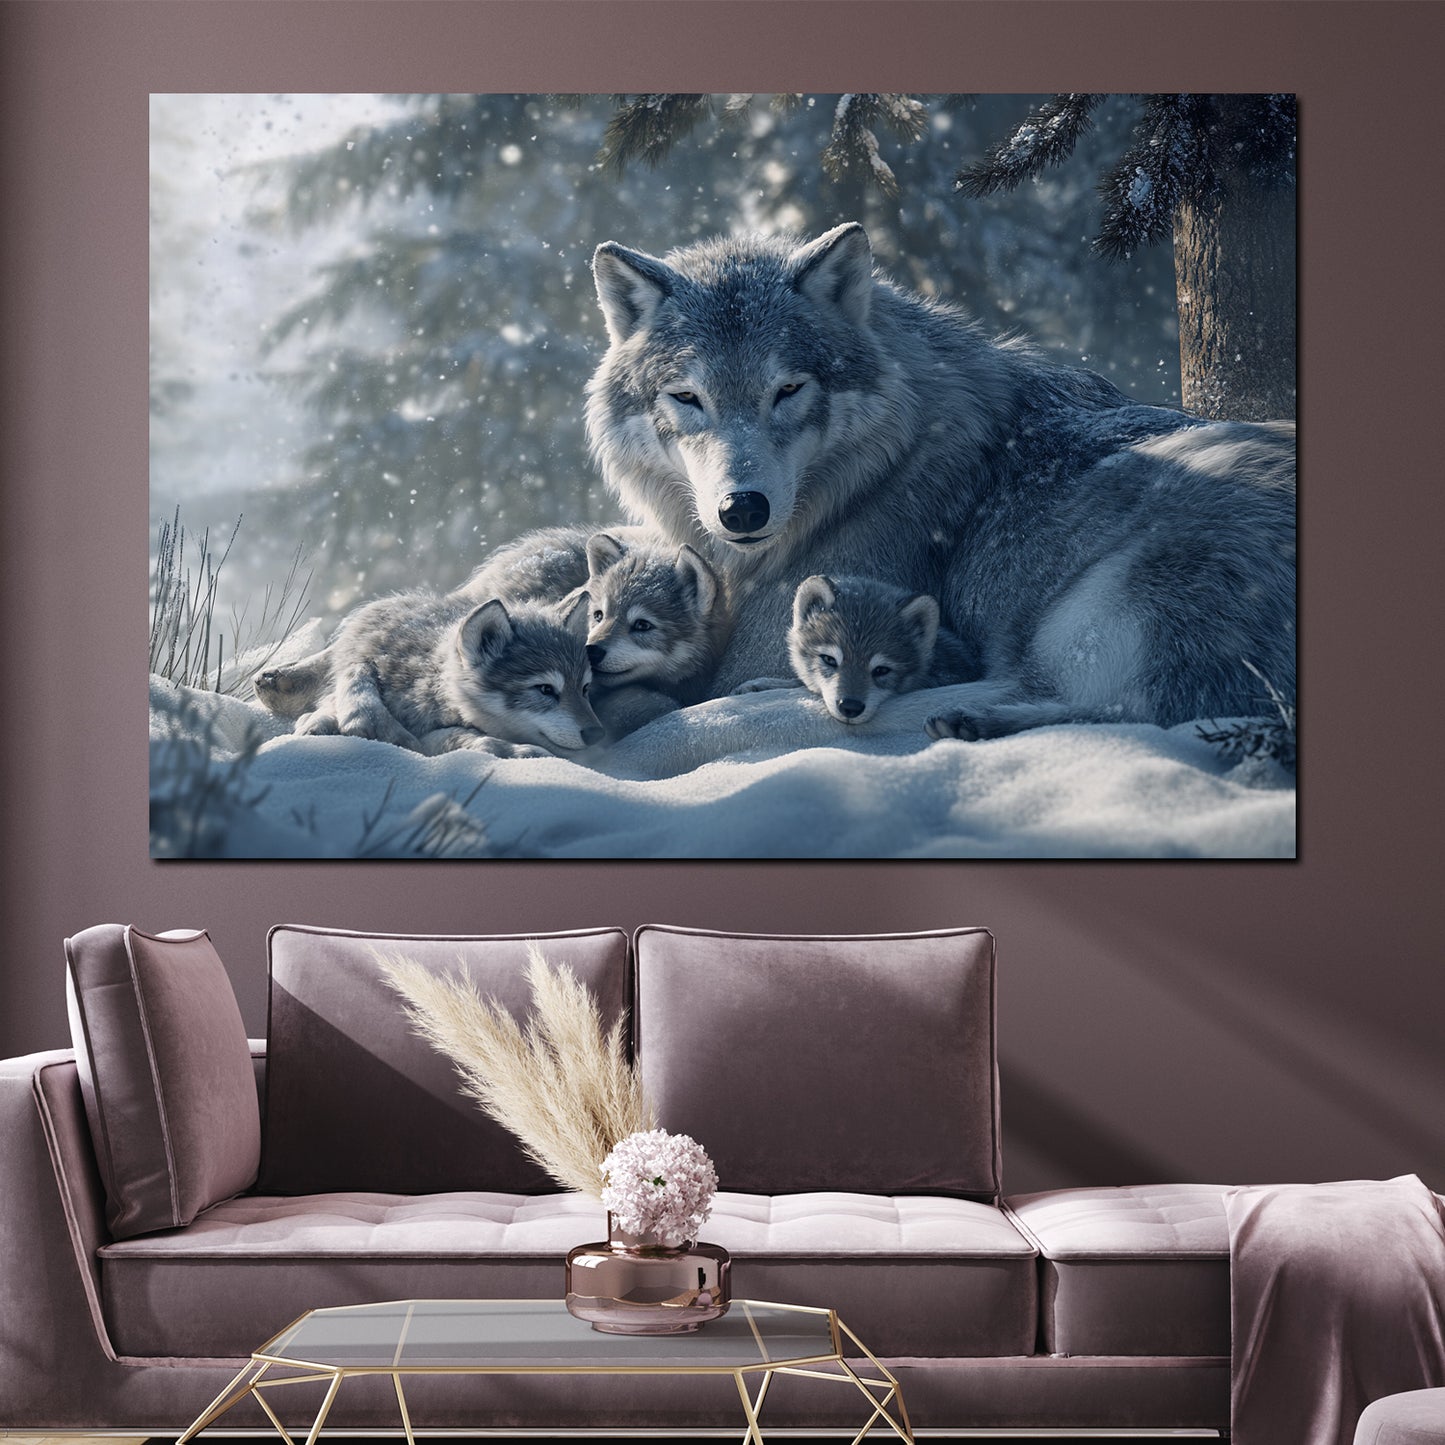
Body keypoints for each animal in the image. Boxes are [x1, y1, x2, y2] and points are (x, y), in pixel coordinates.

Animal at [281, 589, 603, 758]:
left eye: (585, 689)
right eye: (546, 689)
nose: (596, 734)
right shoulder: (423, 732)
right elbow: (477, 740)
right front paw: (521, 751)